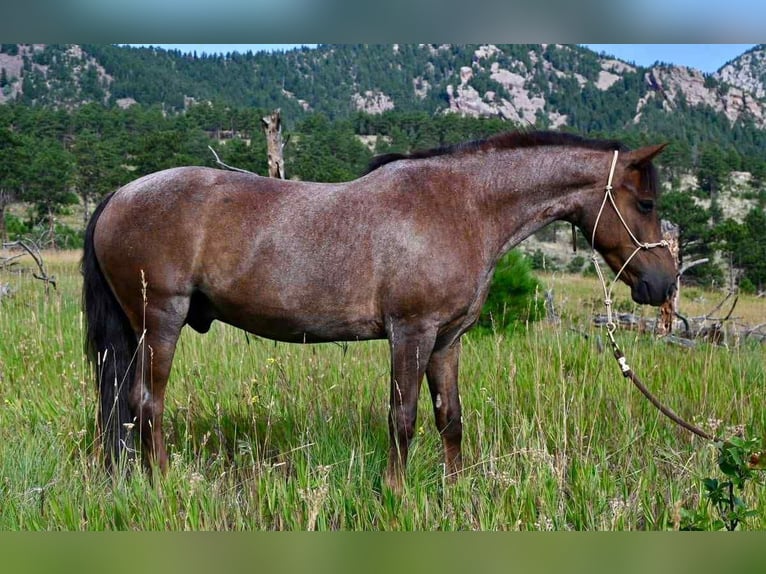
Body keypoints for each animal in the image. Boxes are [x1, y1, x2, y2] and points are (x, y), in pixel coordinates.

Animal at [82, 130, 676, 490]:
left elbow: (449, 418)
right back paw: (165, 481)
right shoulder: (410, 333)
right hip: (161, 321)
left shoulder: (446, 341)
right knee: (147, 402)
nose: (663, 282)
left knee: (123, 405)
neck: (463, 206)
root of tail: (120, 194)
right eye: (646, 203)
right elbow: (403, 417)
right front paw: (396, 492)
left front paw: (454, 492)